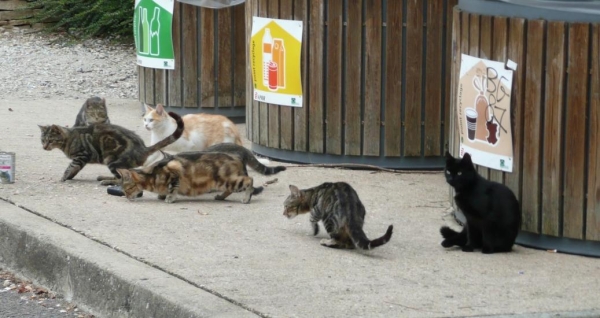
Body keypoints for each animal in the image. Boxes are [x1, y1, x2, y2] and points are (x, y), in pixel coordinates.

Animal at [38, 112, 183, 183]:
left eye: (50, 140)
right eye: (42, 140)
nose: (44, 147)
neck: (69, 138)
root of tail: (143, 149)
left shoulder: (82, 155)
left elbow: (71, 167)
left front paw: (65, 177)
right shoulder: (81, 159)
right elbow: (74, 169)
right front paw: (69, 177)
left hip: (112, 161)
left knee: (122, 179)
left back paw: (106, 181)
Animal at [118, 152, 264, 204]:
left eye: (128, 189)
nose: (126, 196)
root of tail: (237, 157)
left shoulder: (175, 173)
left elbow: (172, 189)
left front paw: (169, 198)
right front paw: (162, 195)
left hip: (226, 181)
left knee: (250, 180)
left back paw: (246, 199)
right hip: (225, 182)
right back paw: (220, 197)